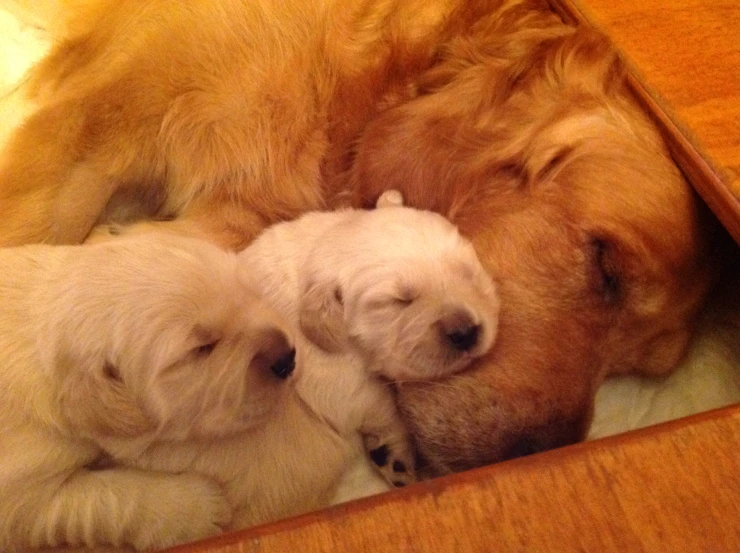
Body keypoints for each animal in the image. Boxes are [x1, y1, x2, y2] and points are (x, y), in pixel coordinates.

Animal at [0, 234, 294, 552]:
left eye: (246, 289)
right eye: (201, 348)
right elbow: (107, 498)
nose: (289, 358)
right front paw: (197, 508)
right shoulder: (22, 495)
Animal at [127, 193, 500, 532]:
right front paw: (397, 457)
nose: (466, 333)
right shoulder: (337, 382)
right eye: (399, 301)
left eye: (467, 273)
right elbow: (382, 404)